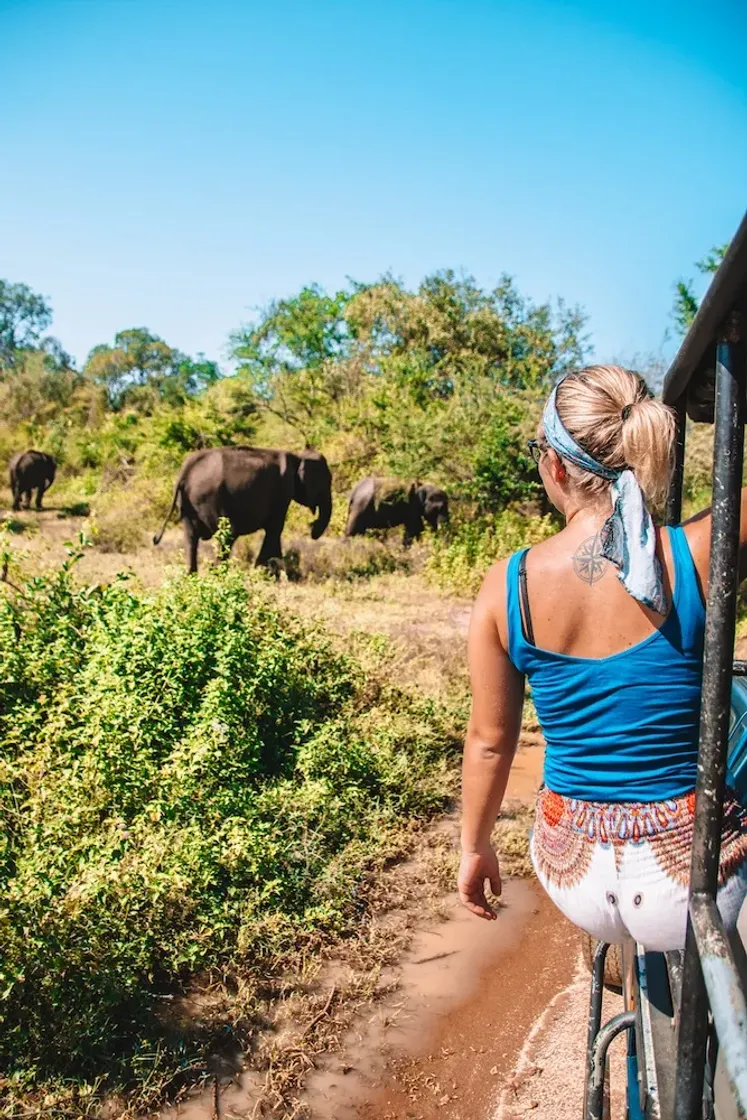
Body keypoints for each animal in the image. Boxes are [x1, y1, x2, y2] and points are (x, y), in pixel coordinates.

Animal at [154, 443, 333, 573]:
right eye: (326, 483)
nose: (312, 528)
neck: (298, 456)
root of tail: (186, 470)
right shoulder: (283, 490)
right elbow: (275, 528)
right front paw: (263, 572)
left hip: (187, 503)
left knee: (191, 537)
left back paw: (192, 575)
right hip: (210, 498)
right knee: (227, 534)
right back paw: (217, 573)